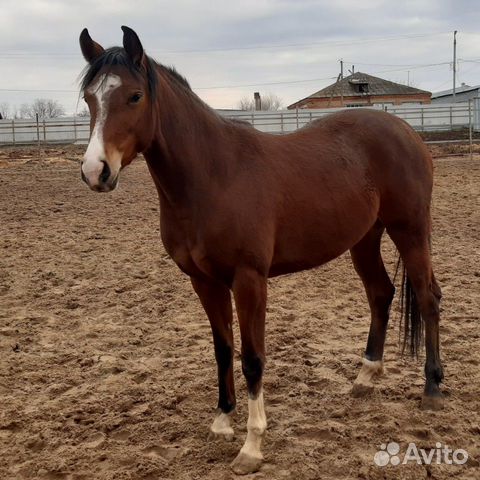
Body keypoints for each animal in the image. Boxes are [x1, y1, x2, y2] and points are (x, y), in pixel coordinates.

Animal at [78, 27, 442, 476]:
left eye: (133, 96)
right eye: (90, 98)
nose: (96, 172)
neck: (213, 176)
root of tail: (405, 130)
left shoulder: (249, 280)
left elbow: (252, 357)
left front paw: (251, 447)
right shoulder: (205, 282)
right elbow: (222, 348)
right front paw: (222, 421)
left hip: (410, 230)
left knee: (427, 298)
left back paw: (431, 388)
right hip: (364, 239)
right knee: (381, 294)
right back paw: (364, 377)